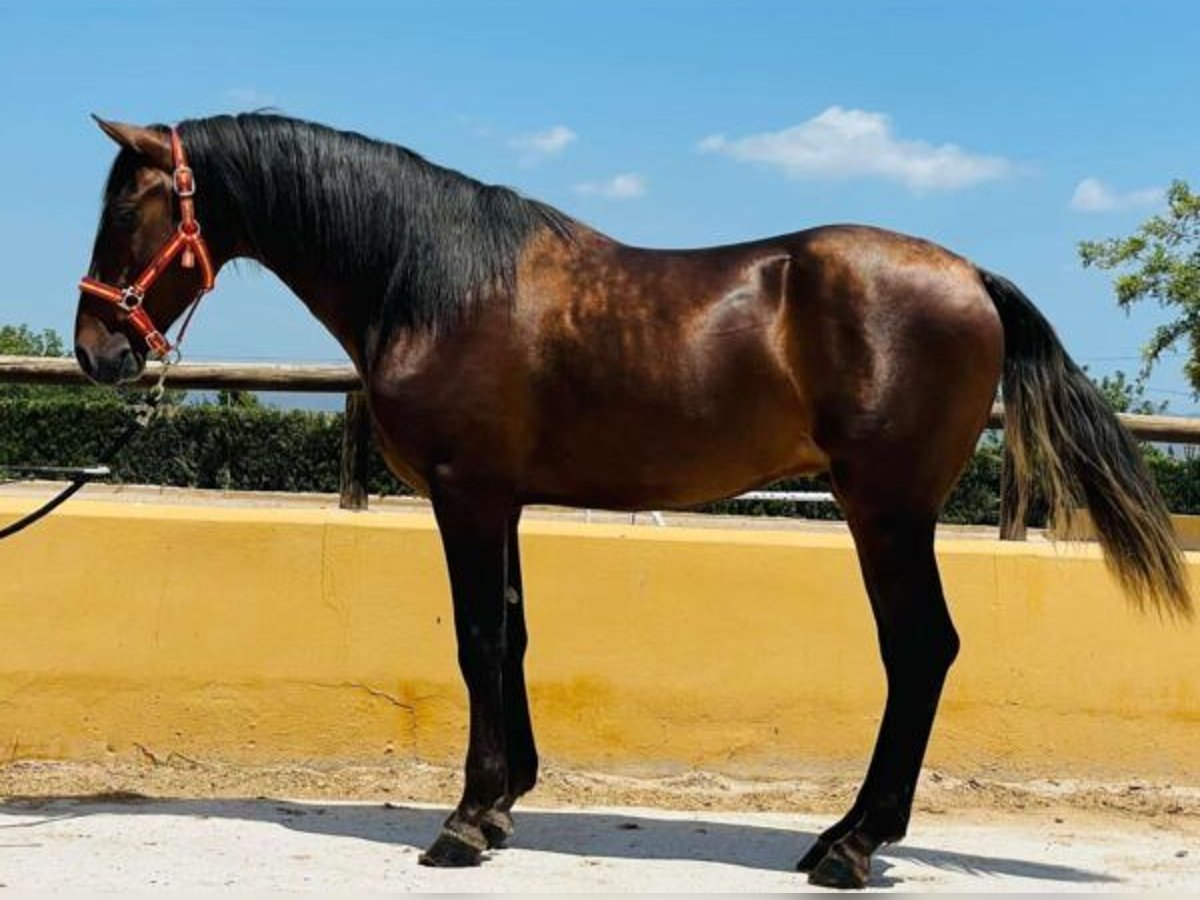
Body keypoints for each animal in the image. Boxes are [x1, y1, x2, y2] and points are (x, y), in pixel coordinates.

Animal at [77, 114, 1190, 897]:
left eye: (128, 208)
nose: (97, 350)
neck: (433, 279)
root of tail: (970, 276)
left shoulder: (465, 493)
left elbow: (478, 639)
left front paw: (465, 823)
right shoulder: (503, 500)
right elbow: (513, 635)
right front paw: (505, 801)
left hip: (885, 512)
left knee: (920, 651)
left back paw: (850, 845)